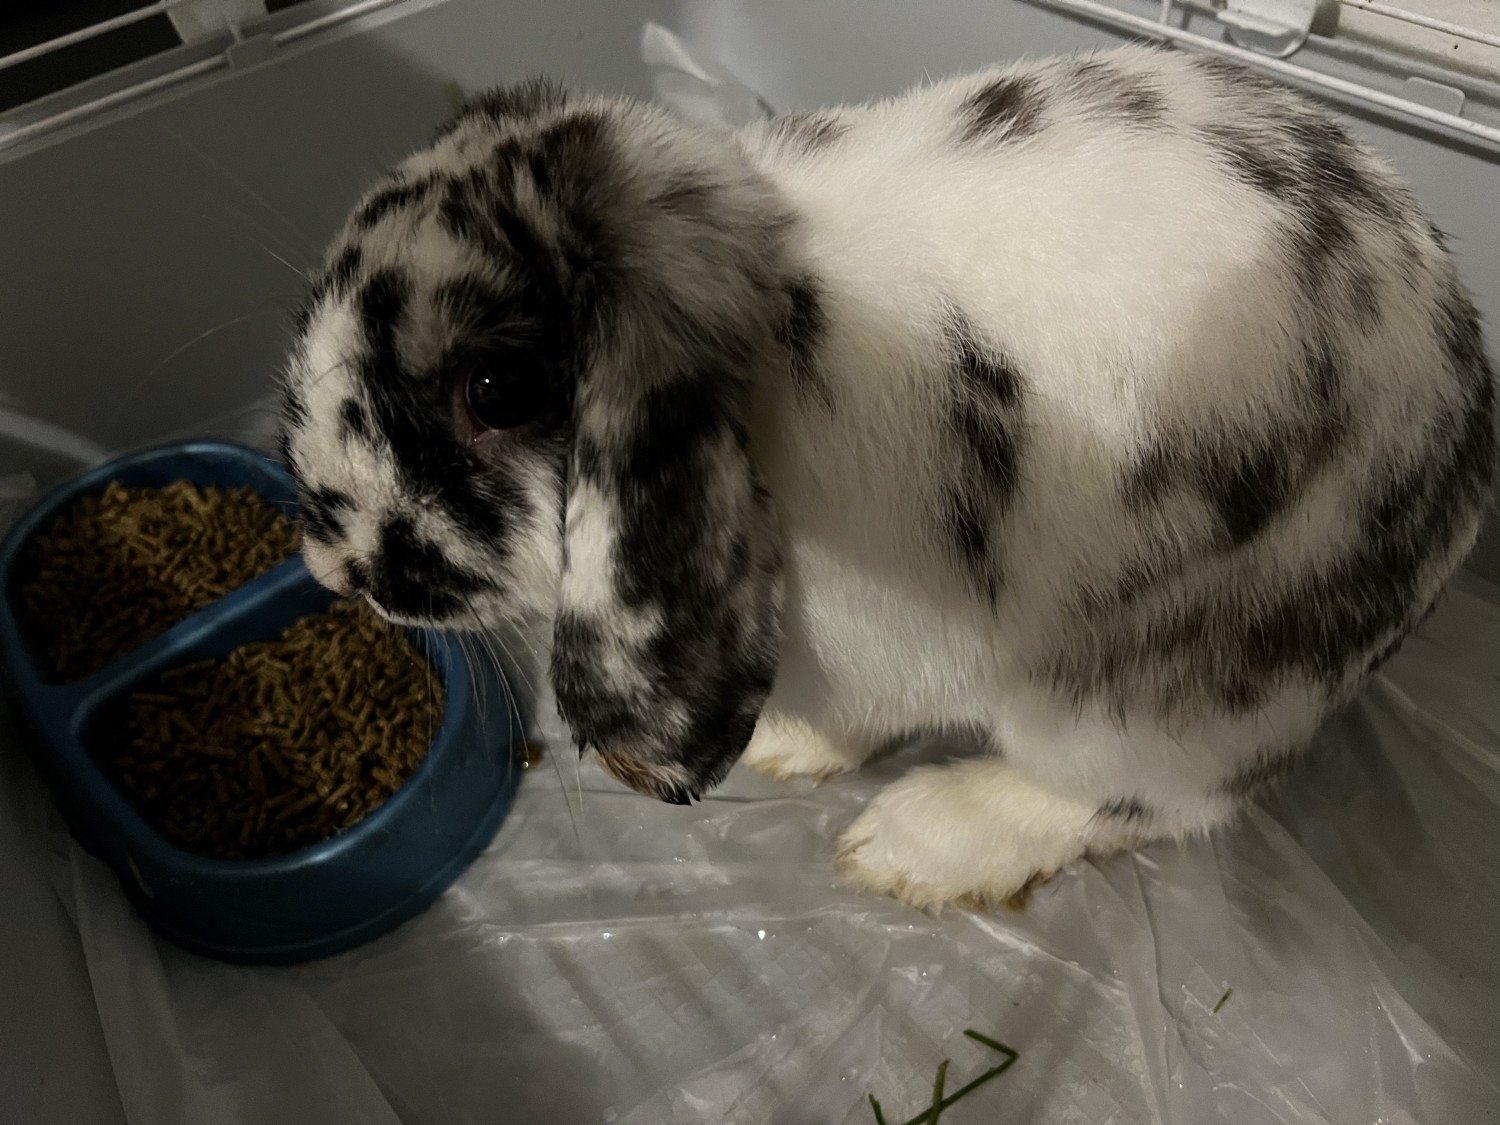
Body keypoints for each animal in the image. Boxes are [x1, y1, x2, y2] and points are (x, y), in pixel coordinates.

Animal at [277, 45, 1495, 910]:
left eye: (495, 389)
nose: (329, 565)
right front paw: (783, 748)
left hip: (1144, 698)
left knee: (1154, 799)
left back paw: (914, 846)